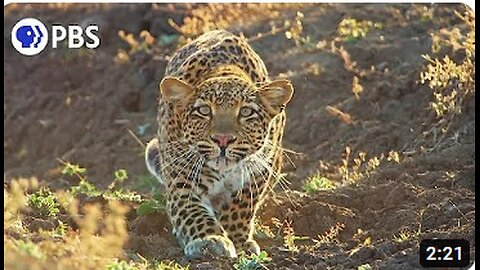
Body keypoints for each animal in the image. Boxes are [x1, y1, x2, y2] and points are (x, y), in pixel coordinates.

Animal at [143, 30, 292, 260]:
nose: (223, 140)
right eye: (204, 110)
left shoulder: (260, 169)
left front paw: (238, 241)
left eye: (246, 112)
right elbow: (192, 212)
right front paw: (210, 240)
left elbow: (242, 207)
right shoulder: (182, 177)